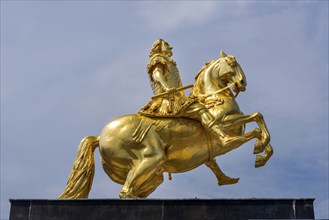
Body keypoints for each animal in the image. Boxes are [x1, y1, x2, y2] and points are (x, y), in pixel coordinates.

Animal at [58, 51, 272, 199]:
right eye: (232, 63)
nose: (243, 83)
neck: (213, 98)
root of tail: (100, 137)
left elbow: (257, 125)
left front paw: (261, 155)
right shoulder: (226, 123)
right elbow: (256, 119)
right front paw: (258, 148)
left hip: (151, 174)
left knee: (133, 192)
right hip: (151, 159)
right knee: (126, 191)